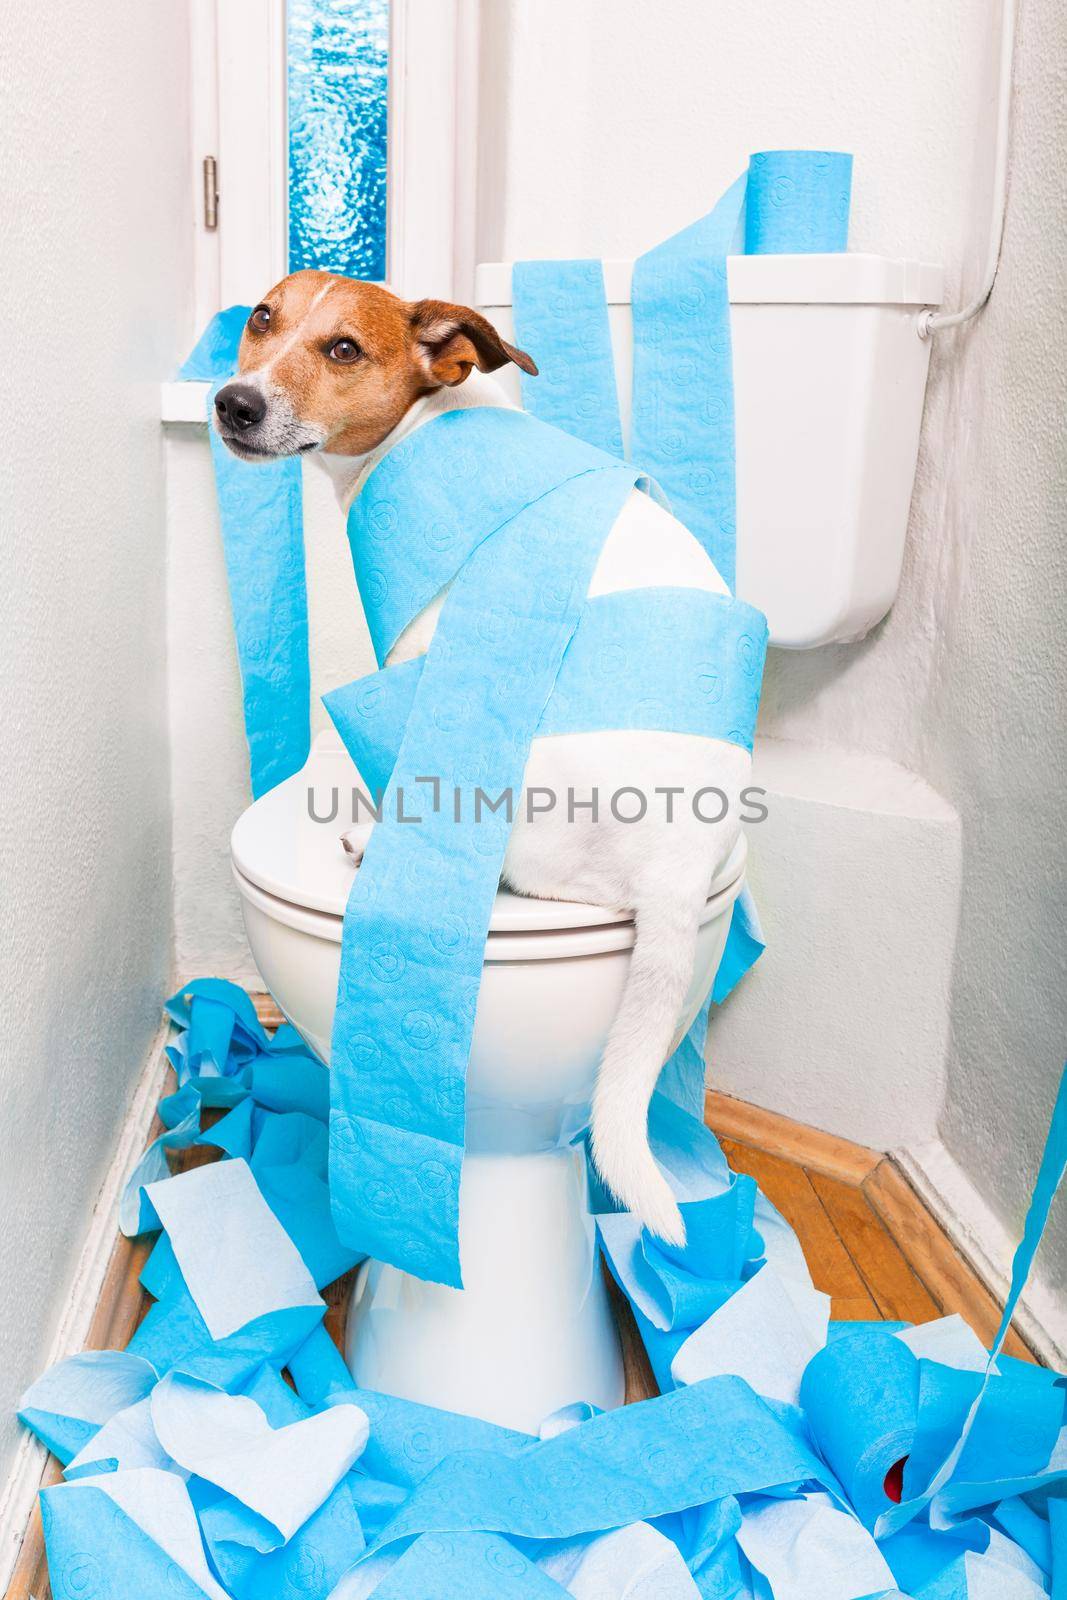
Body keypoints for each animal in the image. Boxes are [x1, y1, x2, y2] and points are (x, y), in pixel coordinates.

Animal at [214, 268, 751, 1241]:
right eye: (261, 320)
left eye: (344, 349)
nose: (232, 402)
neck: (426, 422)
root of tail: (678, 864)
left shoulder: (418, 656)